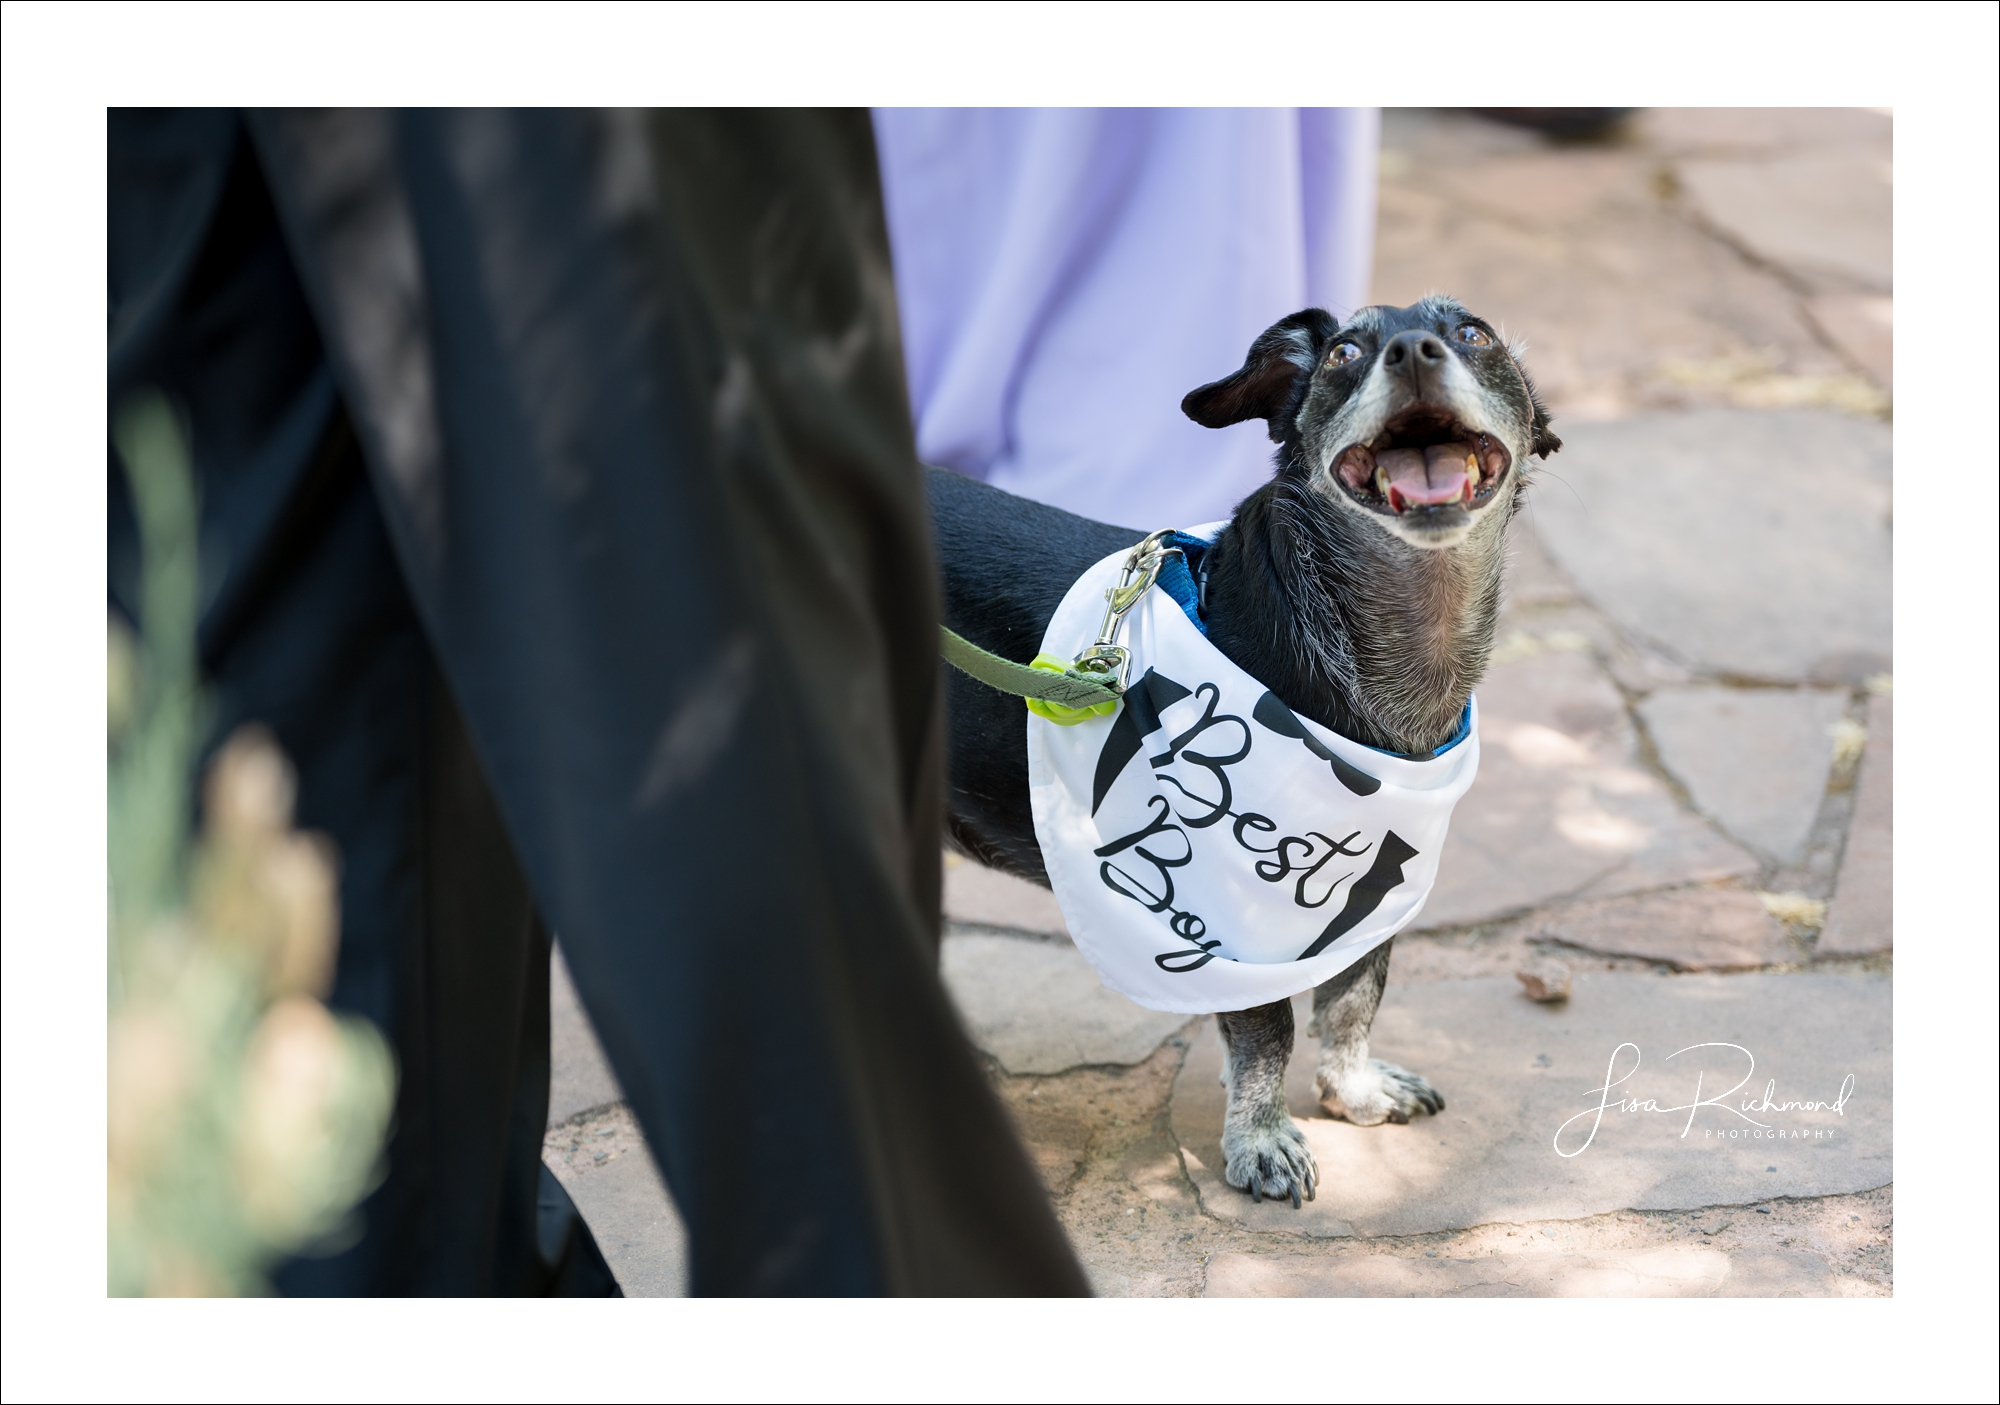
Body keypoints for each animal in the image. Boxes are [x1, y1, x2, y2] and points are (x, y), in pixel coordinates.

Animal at [928, 296, 1552, 1208]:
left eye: (1475, 334)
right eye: (1344, 353)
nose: (1412, 350)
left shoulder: (1372, 889)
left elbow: (1352, 1000)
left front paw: (1354, 1089)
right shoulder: (1231, 920)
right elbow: (1267, 1029)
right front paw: (1260, 1136)